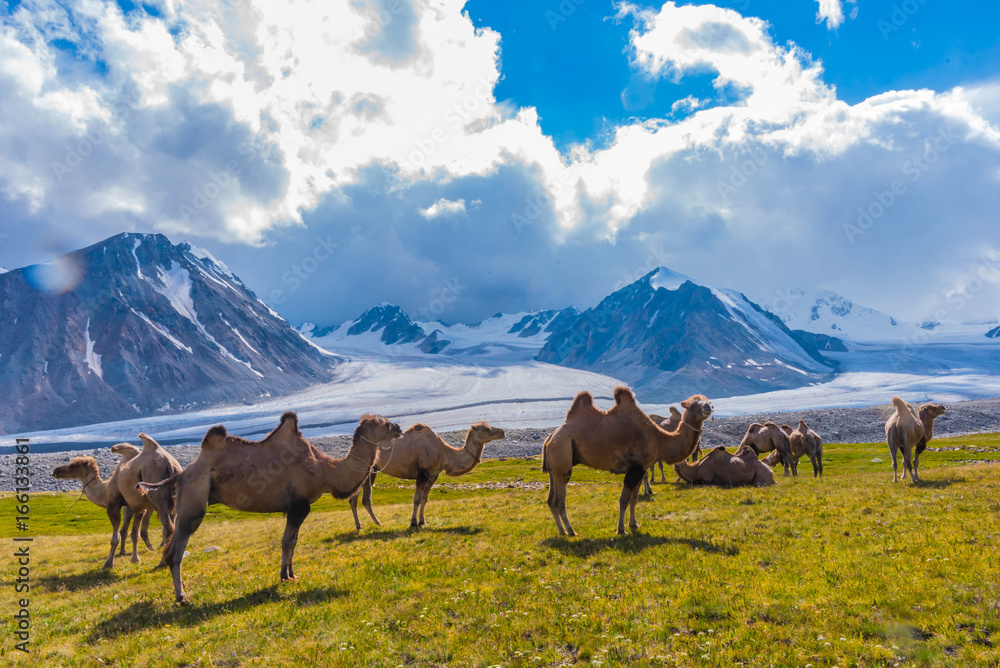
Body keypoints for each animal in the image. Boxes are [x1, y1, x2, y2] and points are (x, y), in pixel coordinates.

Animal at [138, 412, 402, 604]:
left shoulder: (298, 508)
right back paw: (181, 598)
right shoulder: (299, 506)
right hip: (195, 497)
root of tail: (182, 473)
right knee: (177, 549)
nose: (399, 427)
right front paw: (284, 577)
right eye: (382, 422)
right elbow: (287, 542)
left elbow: (293, 541)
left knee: (171, 547)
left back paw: (182, 588)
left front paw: (292, 574)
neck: (326, 470)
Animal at [352, 420, 508, 528]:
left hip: (373, 471)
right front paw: (413, 523)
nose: (502, 431)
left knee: (364, 499)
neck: (444, 452)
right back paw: (362, 525)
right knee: (356, 497)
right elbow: (416, 498)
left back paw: (373, 523)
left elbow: (425, 498)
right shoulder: (422, 472)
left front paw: (423, 521)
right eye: (487, 429)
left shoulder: (433, 474)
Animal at [544, 386, 716, 536]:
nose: (709, 406)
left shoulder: (642, 468)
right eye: (692, 404)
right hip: (562, 458)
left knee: (550, 500)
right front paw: (621, 529)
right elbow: (624, 499)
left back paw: (561, 531)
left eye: (706, 400)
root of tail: (550, 437)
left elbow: (634, 499)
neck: (659, 439)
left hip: (554, 469)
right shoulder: (635, 467)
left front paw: (634, 524)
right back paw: (571, 531)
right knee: (559, 501)